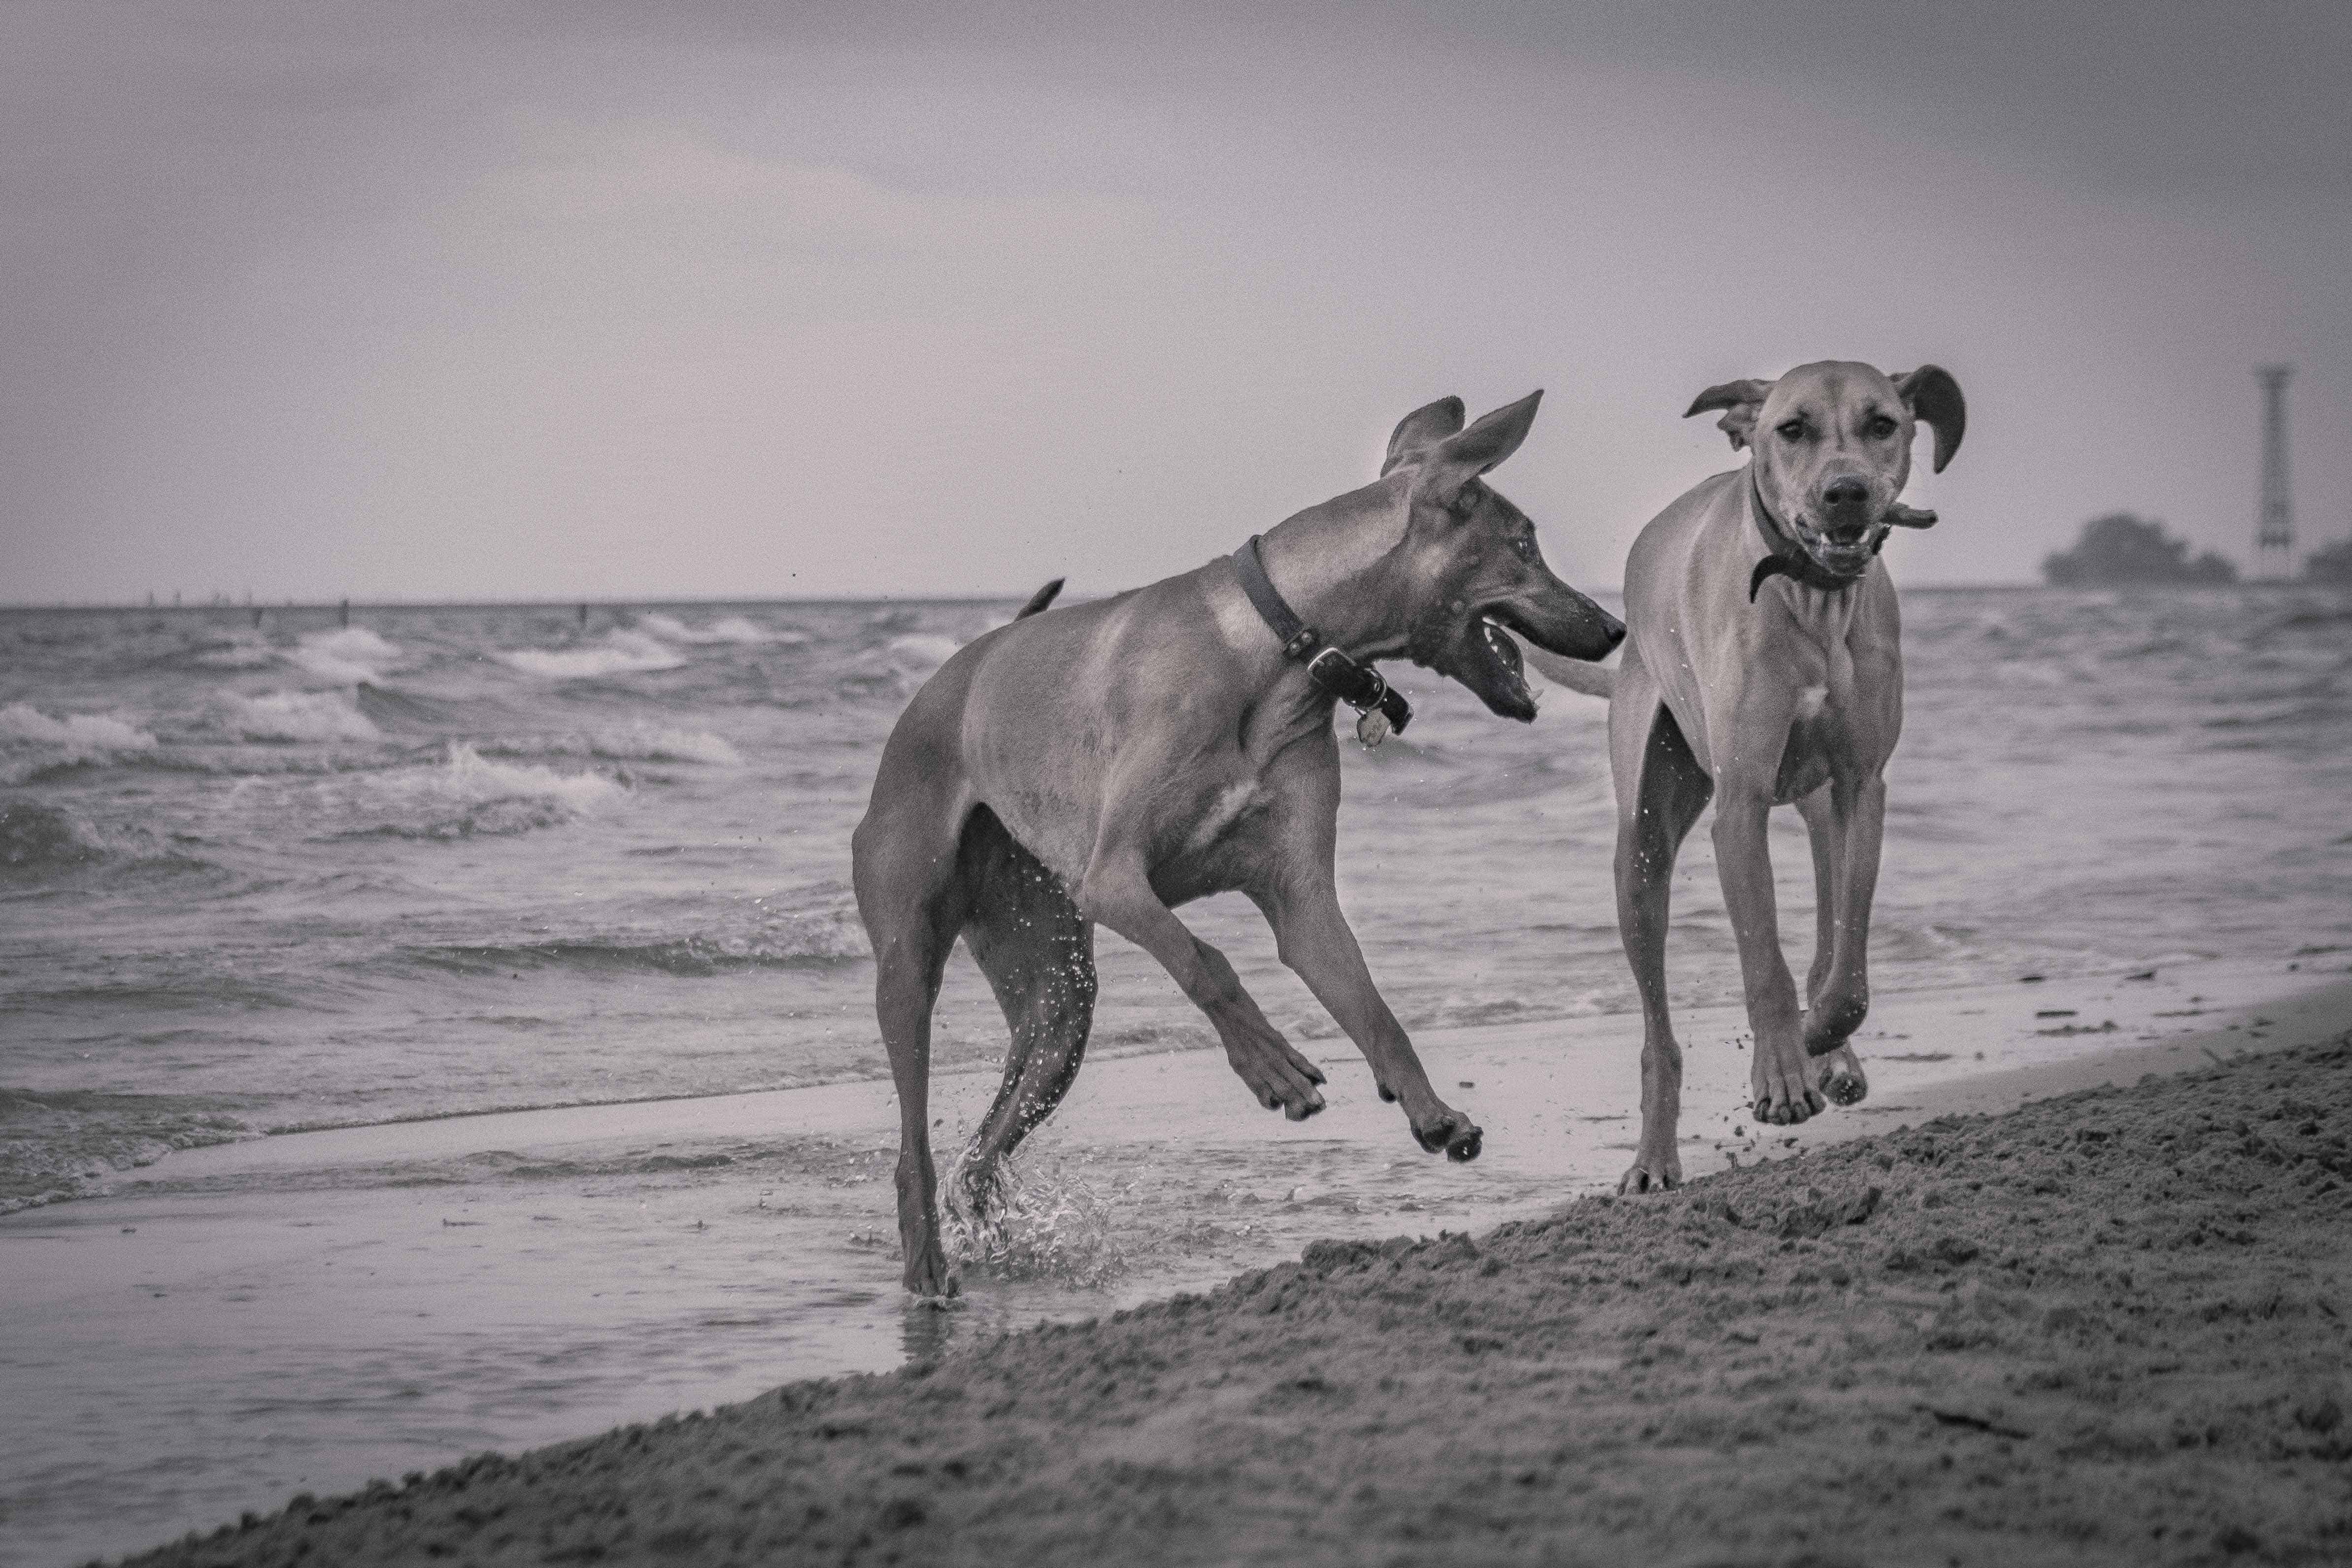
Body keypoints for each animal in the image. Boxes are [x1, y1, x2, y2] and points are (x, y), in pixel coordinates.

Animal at [856, 395, 1627, 1298]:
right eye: (1524, 545)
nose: (1614, 627)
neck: (1278, 651)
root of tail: (941, 683)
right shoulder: (1111, 878)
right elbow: (1205, 960)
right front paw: (1273, 1067)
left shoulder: (1303, 903)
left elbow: (1375, 1009)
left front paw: (1429, 1108)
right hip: (912, 957)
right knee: (913, 1139)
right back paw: (926, 1265)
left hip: (1057, 1004)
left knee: (983, 1146)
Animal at [1524, 355, 1966, 1189]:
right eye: (1790, 428)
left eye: (1882, 423)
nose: (1845, 491)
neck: (1812, 598)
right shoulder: (1740, 801)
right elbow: (1763, 956)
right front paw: (1782, 1072)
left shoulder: (1862, 787)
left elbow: (1847, 961)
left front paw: (1820, 1036)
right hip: (1640, 850)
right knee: (1657, 1034)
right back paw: (1654, 1157)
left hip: (1820, 811)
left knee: (1828, 923)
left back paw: (1831, 1050)